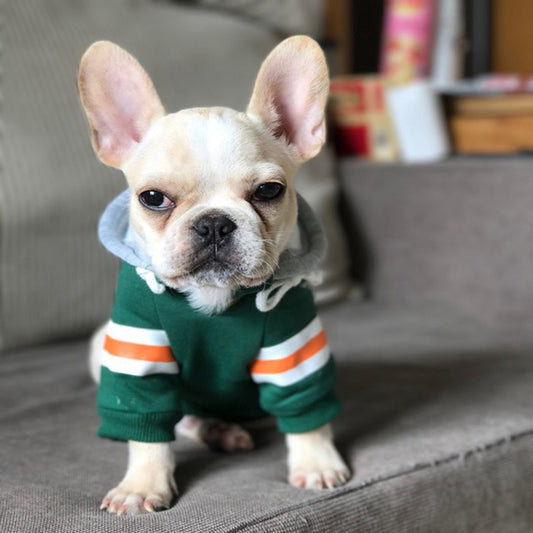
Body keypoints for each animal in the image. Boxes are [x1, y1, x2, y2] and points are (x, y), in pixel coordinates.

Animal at [77, 34, 348, 516]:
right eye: (152, 198)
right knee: (184, 419)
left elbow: (305, 408)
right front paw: (142, 485)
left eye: (269, 191)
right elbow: (147, 428)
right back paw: (217, 430)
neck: (214, 295)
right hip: (101, 346)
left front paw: (316, 461)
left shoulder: (293, 346)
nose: (215, 223)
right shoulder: (138, 348)